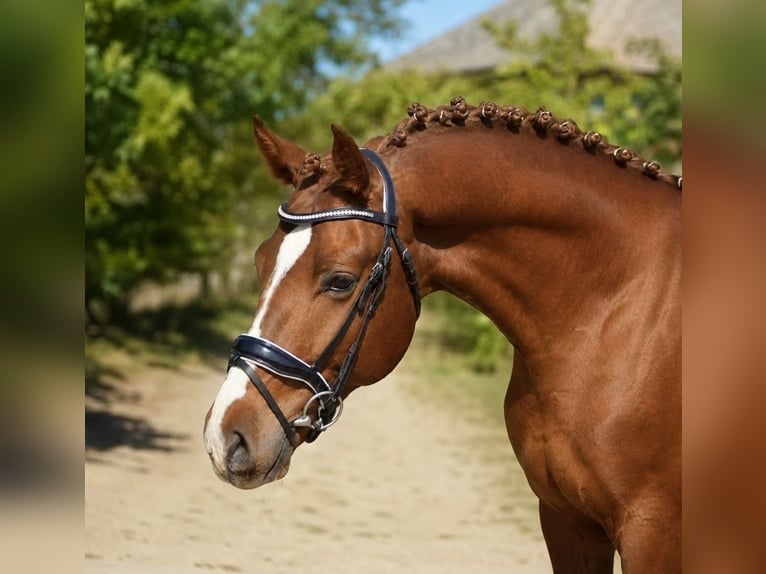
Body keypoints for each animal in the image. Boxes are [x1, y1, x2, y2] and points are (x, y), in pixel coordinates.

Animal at [203, 98, 681, 573]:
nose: (225, 437)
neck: (606, 309)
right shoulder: (566, 520)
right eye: (260, 261)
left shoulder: (650, 530)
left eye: (340, 281)